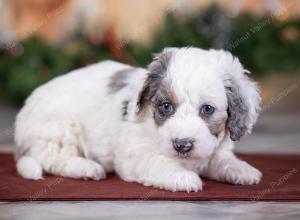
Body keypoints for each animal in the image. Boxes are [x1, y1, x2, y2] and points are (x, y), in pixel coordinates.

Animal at [14, 47, 262, 192]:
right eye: (166, 106)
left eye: (207, 109)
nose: (182, 145)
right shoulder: (134, 155)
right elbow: (159, 162)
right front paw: (182, 177)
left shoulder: (215, 149)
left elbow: (221, 159)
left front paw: (242, 170)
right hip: (59, 129)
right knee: (53, 159)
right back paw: (87, 168)